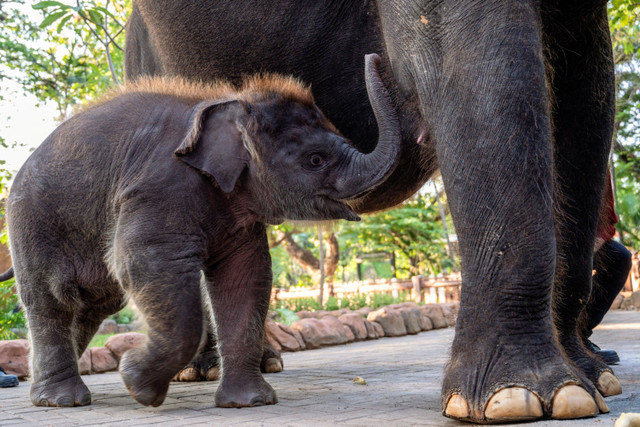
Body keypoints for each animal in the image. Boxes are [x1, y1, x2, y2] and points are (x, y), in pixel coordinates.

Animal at [7, 53, 400, 408]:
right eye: (315, 159)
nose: (375, 57)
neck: (230, 101)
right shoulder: (159, 188)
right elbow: (144, 263)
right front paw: (137, 383)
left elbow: (244, 276)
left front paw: (249, 403)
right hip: (32, 223)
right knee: (51, 299)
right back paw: (61, 400)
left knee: (92, 304)